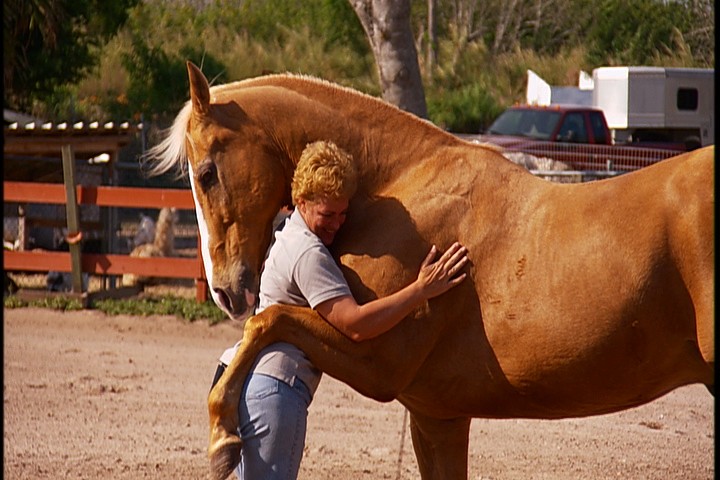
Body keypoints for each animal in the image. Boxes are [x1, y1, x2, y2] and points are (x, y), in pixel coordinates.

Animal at [148, 62, 716, 478]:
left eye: (206, 173)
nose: (225, 290)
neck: (401, 186)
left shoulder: (376, 361)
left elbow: (267, 322)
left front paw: (222, 437)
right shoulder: (436, 415)